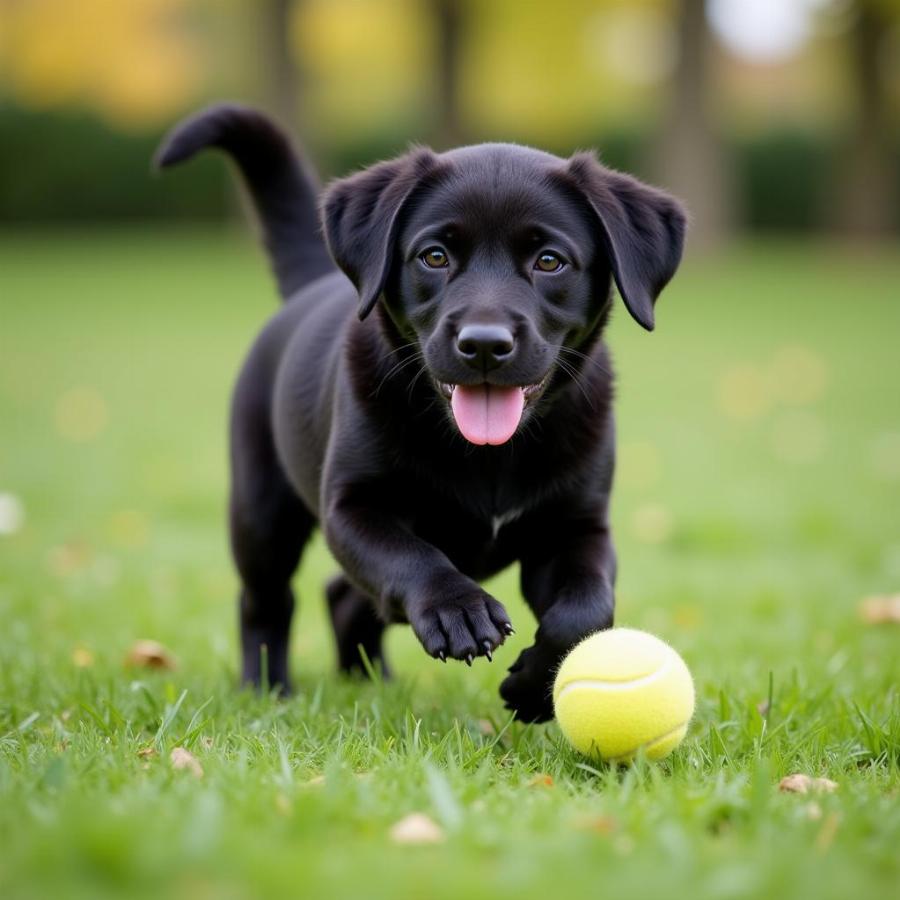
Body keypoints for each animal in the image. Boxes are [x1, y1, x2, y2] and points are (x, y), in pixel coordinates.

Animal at [158, 103, 684, 724]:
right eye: (435, 256)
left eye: (550, 261)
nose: (484, 344)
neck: (488, 455)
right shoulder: (353, 506)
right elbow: (412, 555)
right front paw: (459, 610)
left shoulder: (576, 525)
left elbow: (589, 607)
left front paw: (533, 686)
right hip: (261, 508)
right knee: (266, 600)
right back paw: (268, 689)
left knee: (344, 596)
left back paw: (367, 681)